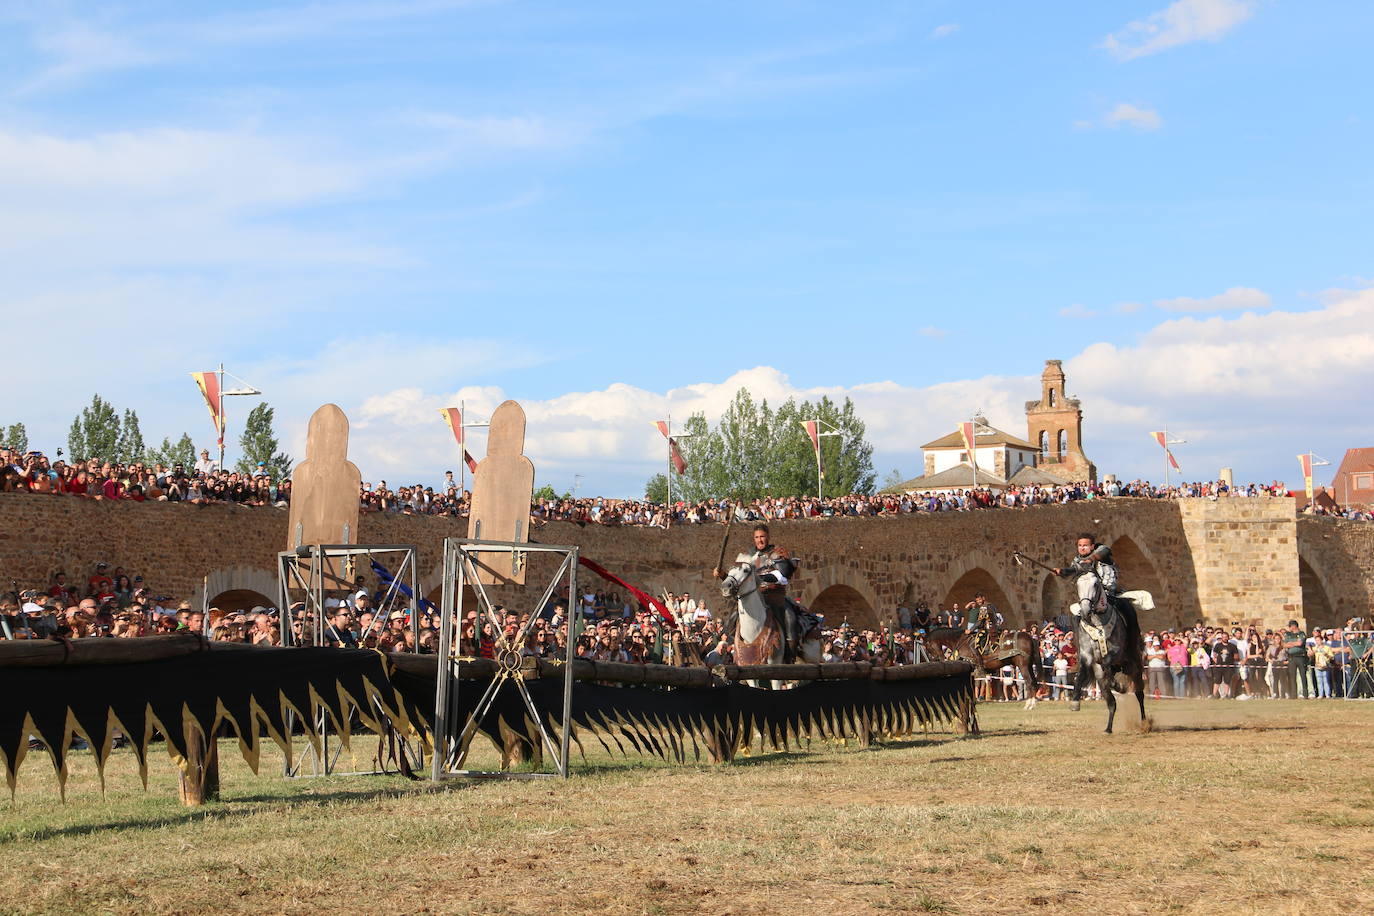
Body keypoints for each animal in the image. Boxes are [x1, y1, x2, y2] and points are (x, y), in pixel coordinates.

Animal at [725, 552, 818, 686]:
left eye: (745, 570)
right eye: (729, 570)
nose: (726, 586)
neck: (754, 630)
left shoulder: (775, 668)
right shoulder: (749, 670)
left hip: (814, 656)